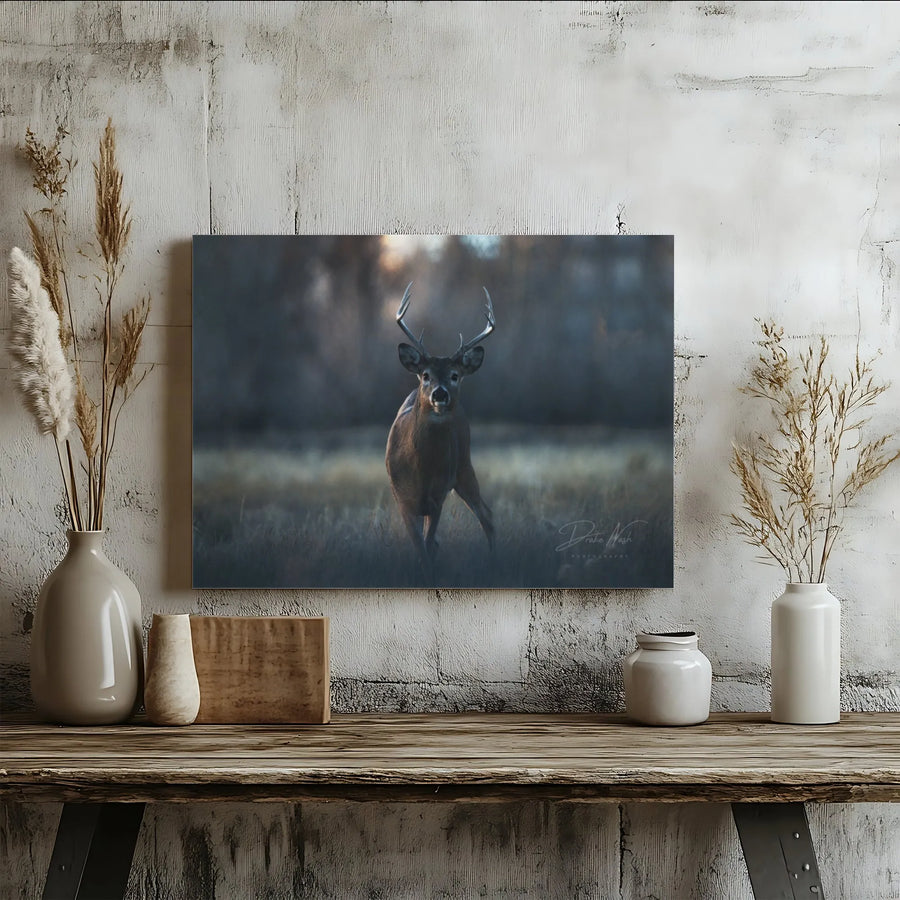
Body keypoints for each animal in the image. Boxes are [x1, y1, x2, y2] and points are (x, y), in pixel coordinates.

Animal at [386, 282, 495, 580]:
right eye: (426, 375)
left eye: (455, 375)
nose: (440, 393)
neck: (421, 469)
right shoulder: (402, 498)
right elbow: (422, 546)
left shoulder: (437, 496)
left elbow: (427, 544)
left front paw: (428, 575)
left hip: (464, 465)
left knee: (487, 515)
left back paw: (496, 562)